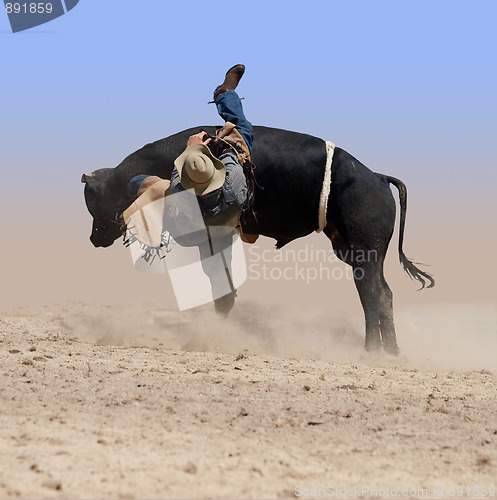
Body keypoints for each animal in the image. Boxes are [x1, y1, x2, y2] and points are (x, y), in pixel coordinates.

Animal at [82, 127, 434, 354]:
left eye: (94, 201)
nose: (93, 238)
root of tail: (378, 177)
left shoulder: (212, 235)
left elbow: (220, 287)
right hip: (359, 253)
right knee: (383, 294)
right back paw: (391, 352)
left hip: (363, 252)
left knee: (373, 295)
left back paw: (372, 350)